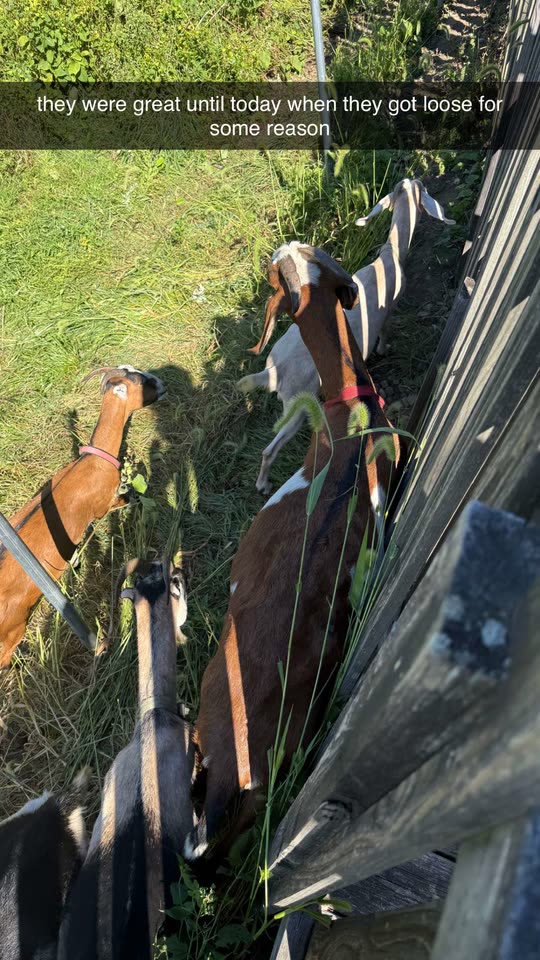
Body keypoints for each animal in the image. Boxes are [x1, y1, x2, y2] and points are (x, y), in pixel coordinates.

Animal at [0, 365, 164, 668]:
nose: (163, 384)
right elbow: (127, 499)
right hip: (11, 631)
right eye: (141, 381)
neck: (95, 461)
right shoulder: (104, 504)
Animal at [238, 178, 454, 493]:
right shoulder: (390, 308)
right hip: (298, 404)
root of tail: (274, 371)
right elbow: (385, 329)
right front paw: (384, 348)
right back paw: (264, 485)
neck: (389, 257)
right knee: (270, 448)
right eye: (421, 190)